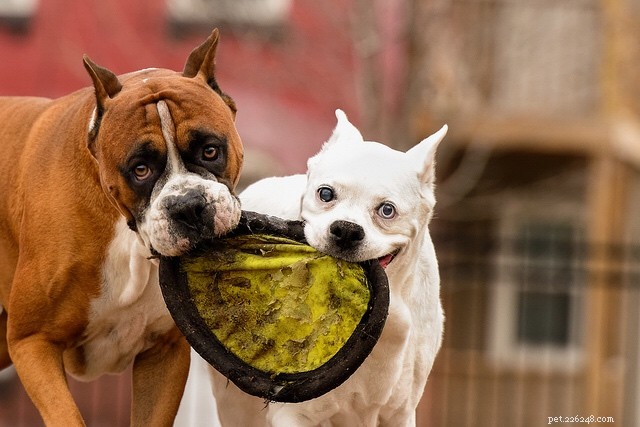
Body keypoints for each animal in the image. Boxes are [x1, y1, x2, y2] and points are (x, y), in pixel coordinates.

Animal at [0, 28, 242, 426]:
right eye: (140, 170)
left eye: (210, 151)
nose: (189, 206)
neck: (128, 237)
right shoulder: (32, 342)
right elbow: (68, 416)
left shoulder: (163, 354)